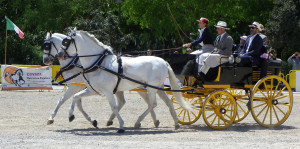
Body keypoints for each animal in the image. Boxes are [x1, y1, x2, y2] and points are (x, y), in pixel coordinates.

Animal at [57, 29, 191, 133]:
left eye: (66, 41)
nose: (59, 54)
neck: (99, 63)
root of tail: (164, 61)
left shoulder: (108, 91)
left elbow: (114, 107)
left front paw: (121, 126)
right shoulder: (93, 90)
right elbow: (75, 97)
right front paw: (71, 116)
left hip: (151, 87)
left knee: (153, 104)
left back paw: (138, 121)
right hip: (158, 88)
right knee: (168, 102)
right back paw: (176, 123)